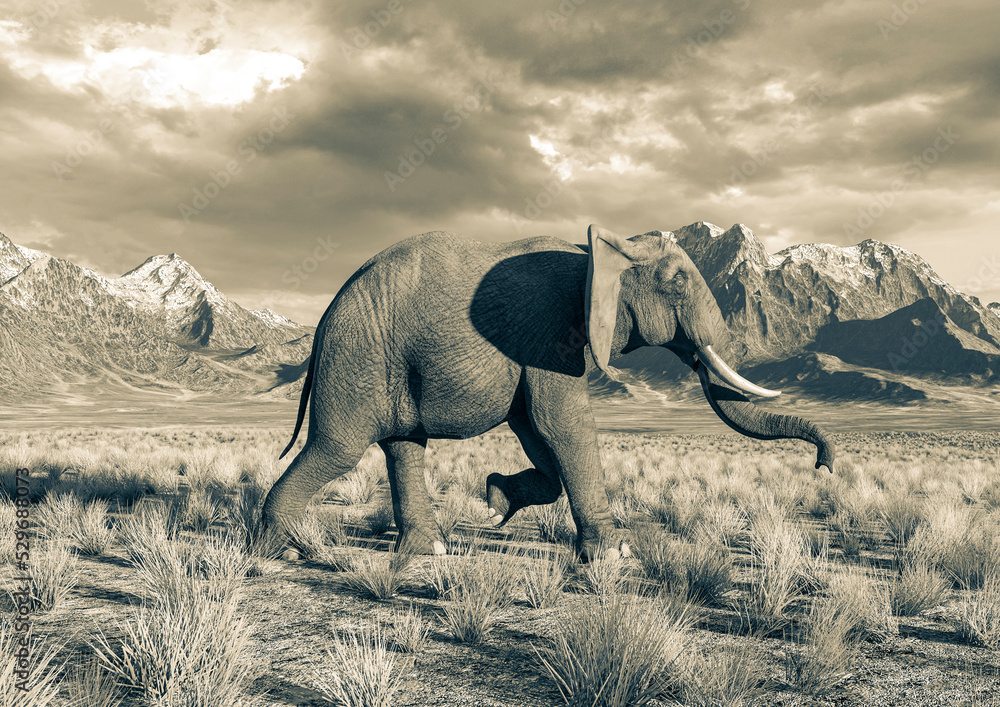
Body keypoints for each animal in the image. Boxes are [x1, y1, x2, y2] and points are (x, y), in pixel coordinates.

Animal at [262, 225, 836, 561]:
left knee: (404, 447)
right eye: (675, 282)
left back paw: (430, 552)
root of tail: (322, 321)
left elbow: (537, 431)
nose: (824, 466)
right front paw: (614, 557)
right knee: (338, 449)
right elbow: (562, 423)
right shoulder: (548, 330)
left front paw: (495, 496)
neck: (598, 252)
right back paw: (281, 550)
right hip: (359, 358)